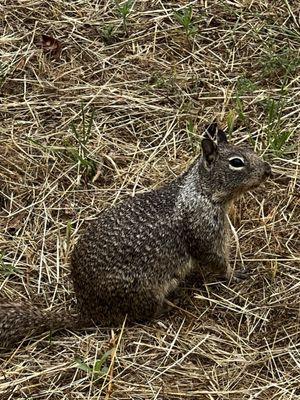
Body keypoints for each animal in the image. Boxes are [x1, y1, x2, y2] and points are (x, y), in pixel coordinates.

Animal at [0, 124, 272, 346]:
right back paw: (170, 308)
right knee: (143, 315)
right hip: (145, 292)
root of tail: (88, 312)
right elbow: (215, 259)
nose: (268, 170)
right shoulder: (205, 231)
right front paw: (234, 273)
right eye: (236, 162)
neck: (200, 191)